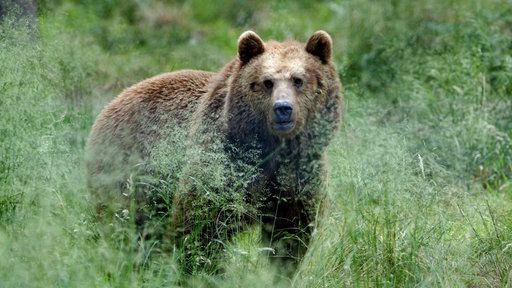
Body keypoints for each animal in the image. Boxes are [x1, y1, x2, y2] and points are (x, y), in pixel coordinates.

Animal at [86, 31, 342, 274]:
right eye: (266, 82)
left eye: (298, 80)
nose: (283, 109)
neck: (272, 149)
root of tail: (111, 103)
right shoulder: (223, 162)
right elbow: (201, 226)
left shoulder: (299, 174)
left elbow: (291, 233)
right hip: (128, 171)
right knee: (125, 225)